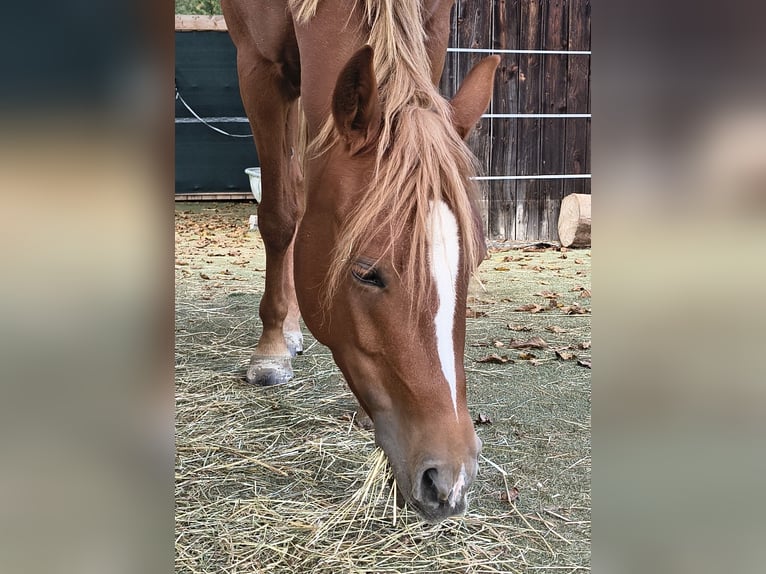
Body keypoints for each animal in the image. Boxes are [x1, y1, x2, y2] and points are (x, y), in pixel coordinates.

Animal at [221, 0, 499, 522]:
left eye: (470, 266)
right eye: (366, 274)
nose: (449, 481)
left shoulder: (433, 35)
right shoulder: (259, 67)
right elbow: (281, 215)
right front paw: (270, 348)